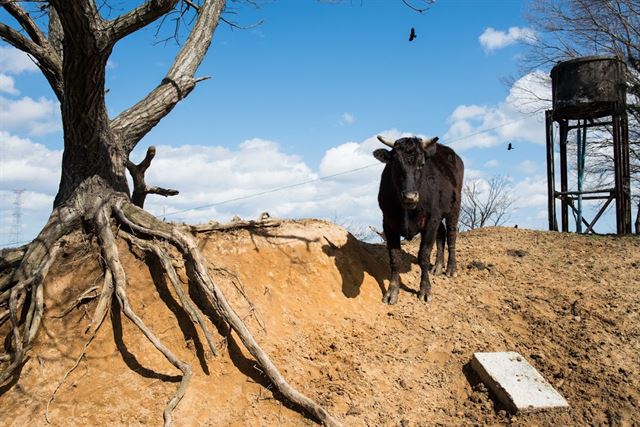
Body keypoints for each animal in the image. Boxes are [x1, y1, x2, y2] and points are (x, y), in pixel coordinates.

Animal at [372, 135, 462, 306]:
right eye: (395, 164)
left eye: (421, 164)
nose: (410, 196)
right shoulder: (388, 223)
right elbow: (395, 258)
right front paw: (392, 292)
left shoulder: (430, 220)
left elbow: (424, 256)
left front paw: (425, 290)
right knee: (441, 234)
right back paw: (438, 267)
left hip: (454, 207)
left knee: (451, 234)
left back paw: (451, 268)